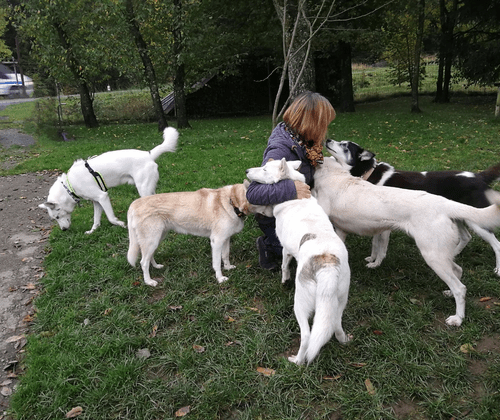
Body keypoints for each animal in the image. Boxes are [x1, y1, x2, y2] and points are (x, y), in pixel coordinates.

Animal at [39, 127, 178, 234]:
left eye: (57, 217)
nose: (63, 230)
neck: (69, 186)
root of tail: (149, 154)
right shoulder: (97, 202)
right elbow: (96, 220)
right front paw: (92, 231)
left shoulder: (103, 196)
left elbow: (111, 218)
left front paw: (121, 224)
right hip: (148, 189)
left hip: (143, 190)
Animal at [246, 158, 351, 365]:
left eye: (264, 169)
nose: (246, 171)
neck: (294, 196)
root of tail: (327, 263)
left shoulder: (286, 248)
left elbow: (284, 266)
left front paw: (284, 280)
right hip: (339, 300)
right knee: (336, 326)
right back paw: (343, 340)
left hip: (300, 304)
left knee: (308, 336)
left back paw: (297, 361)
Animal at [313, 156, 500, 327]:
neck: (335, 175)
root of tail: (445, 203)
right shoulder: (342, 231)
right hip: (440, 254)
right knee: (458, 271)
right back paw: (448, 293)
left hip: (433, 256)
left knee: (460, 288)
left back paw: (458, 319)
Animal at [325, 139, 500, 275]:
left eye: (345, 145)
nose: (327, 139)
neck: (369, 173)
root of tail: (479, 176)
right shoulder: (375, 223)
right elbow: (375, 244)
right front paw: (372, 258)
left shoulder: (385, 227)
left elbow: (381, 247)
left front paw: (376, 263)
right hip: (459, 217)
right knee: (466, 237)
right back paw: (453, 255)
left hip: (478, 221)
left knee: (496, 244)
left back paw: (497, 270)